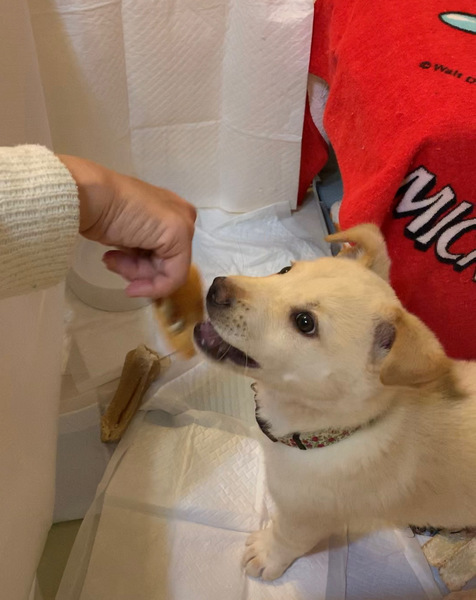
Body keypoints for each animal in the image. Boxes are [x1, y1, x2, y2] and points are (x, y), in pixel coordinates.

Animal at [193, 224, 476, 581]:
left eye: (304, 322)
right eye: (284, 271)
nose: (216, 288)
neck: (328, 433)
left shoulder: (307, 515)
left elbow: (287, 537)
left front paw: (266, 555)